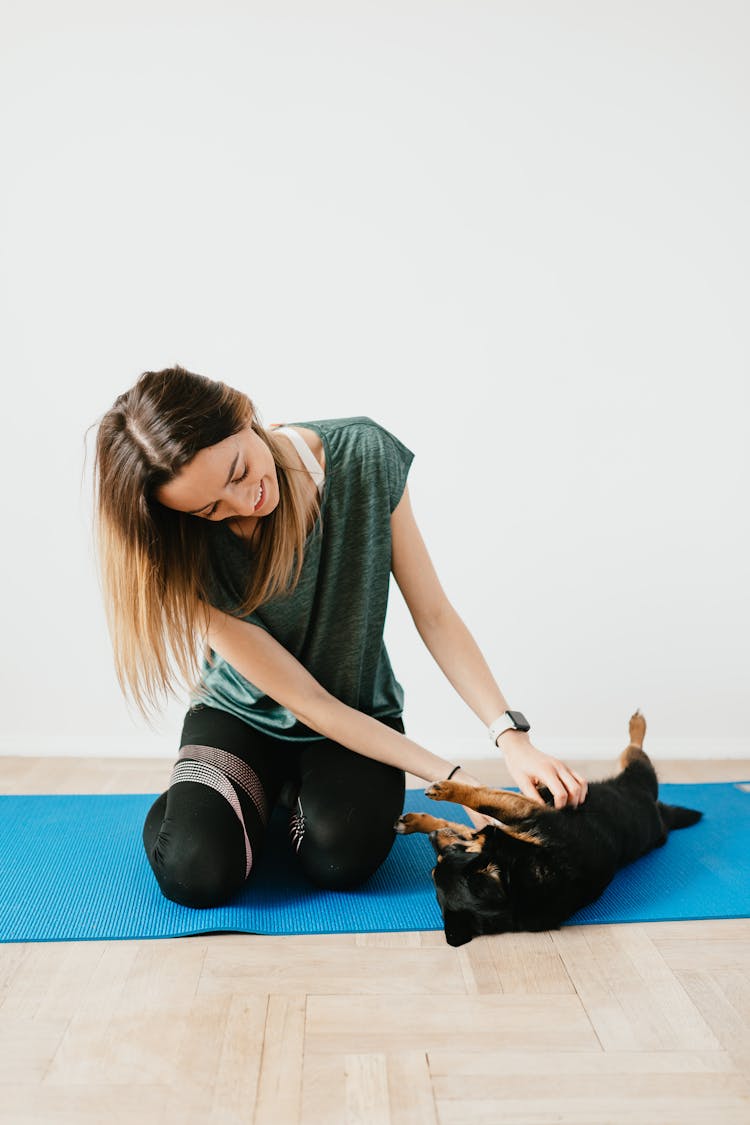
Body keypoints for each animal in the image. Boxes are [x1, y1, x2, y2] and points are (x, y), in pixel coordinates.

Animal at [395, 711, 701, 940]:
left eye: (444, 858)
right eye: (435, 867)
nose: (433, 839)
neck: (517, 877)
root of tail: (662, 816)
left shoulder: (526, 812)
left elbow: (480, 800)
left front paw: (442, 794)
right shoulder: (511, 822)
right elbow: (467, 817)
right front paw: (421, 821)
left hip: (638, 777)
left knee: (635, 750)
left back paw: (637, 724)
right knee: (633, 753)